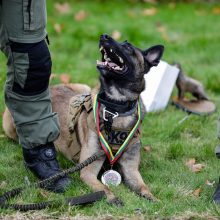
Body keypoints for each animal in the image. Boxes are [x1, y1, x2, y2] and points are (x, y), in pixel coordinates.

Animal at [1, 33, 163, 205]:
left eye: (128, 47)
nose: (104, 36)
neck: (116, 108)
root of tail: (50, 88)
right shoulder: (88, 171)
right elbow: (103, 189)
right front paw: (113, 198)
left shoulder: (131, 169)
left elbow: (143, 187)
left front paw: (154, 199)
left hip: (84, 88)